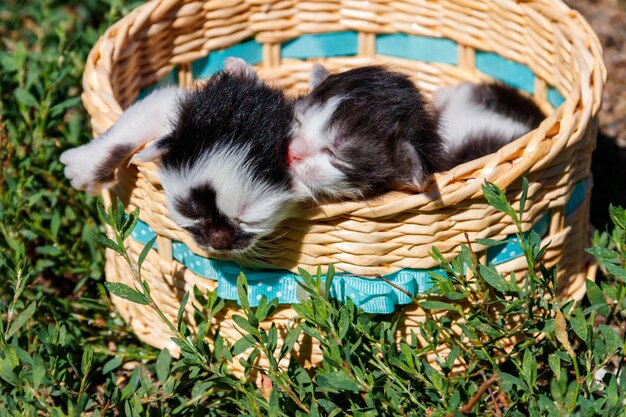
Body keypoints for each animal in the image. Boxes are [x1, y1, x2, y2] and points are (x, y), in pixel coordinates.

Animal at [62, 57, 296, 254]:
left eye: (247, 220)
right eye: (192, 212)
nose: (218, 242)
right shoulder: (175, 108)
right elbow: (127, 131)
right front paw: (84, 167)